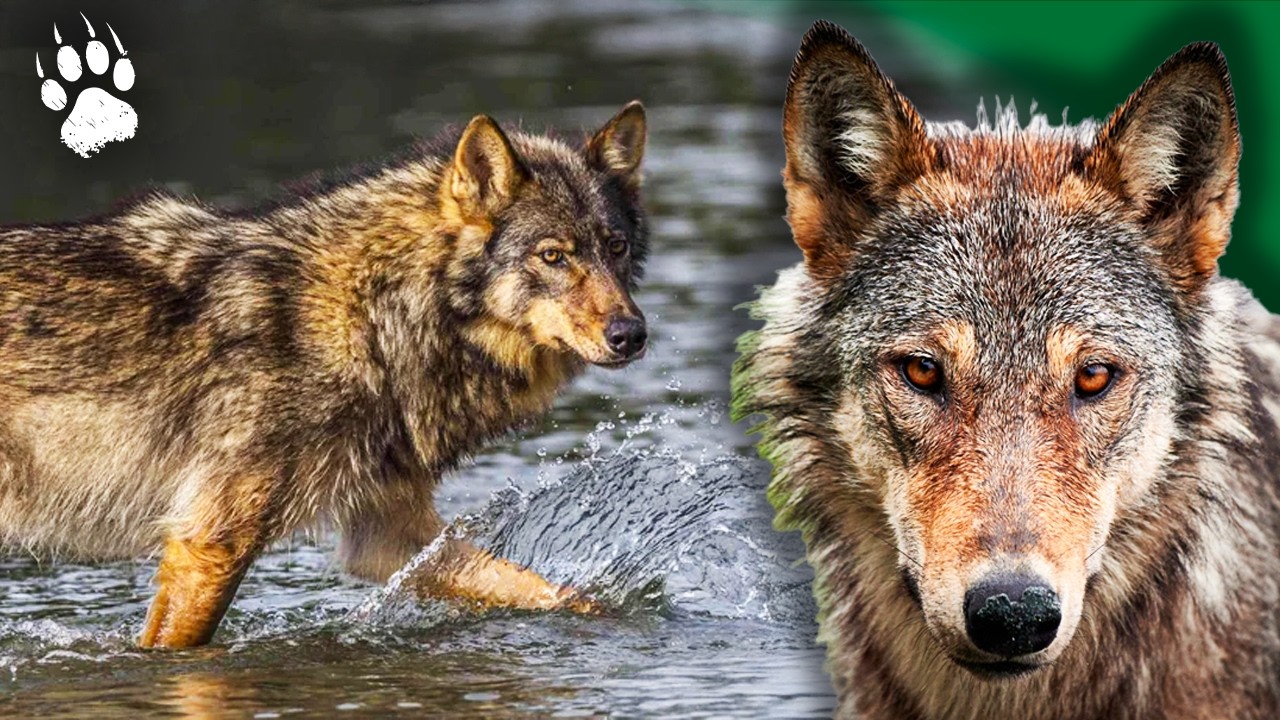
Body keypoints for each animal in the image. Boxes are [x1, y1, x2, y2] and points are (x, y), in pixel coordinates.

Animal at [0, 99, 650, 645]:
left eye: (614, 247)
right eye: (553, 256)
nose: (632, 335)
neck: (372, 315)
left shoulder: (389, 534)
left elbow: (556, 593)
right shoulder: (209, 543)